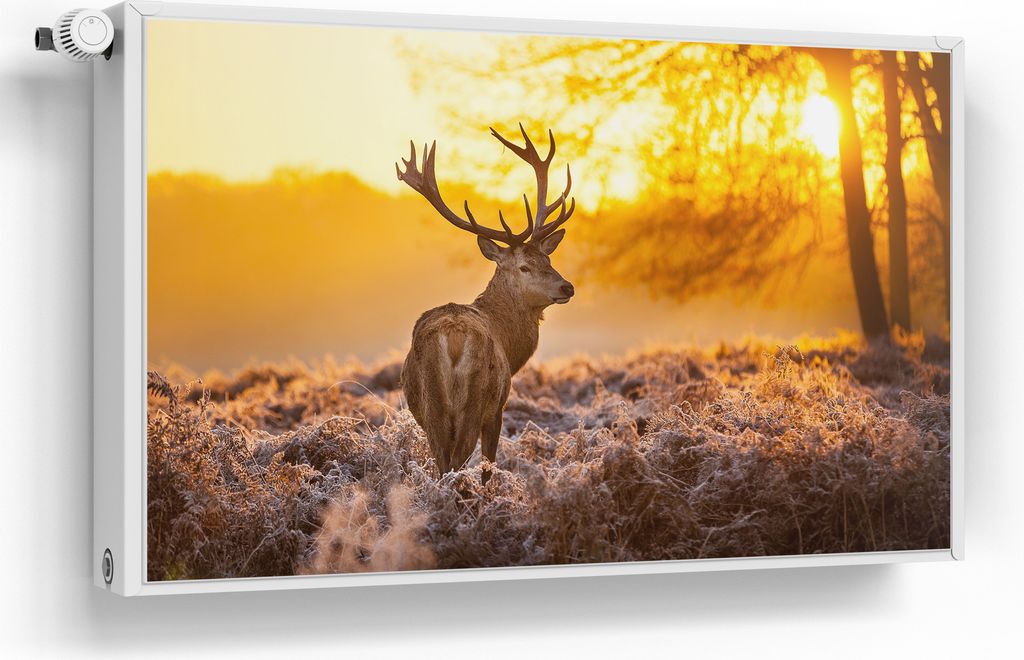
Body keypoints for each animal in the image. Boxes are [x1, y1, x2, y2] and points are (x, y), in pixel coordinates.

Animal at [396, 125, 577, 484]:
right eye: (524, 267)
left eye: (548, 259)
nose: (567, 286)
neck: (509, 342)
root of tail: (453, 338)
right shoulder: (498, 408)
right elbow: (488, 466)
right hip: (476, 399)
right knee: (458, 463)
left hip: (431, 406)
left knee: (442, 463)